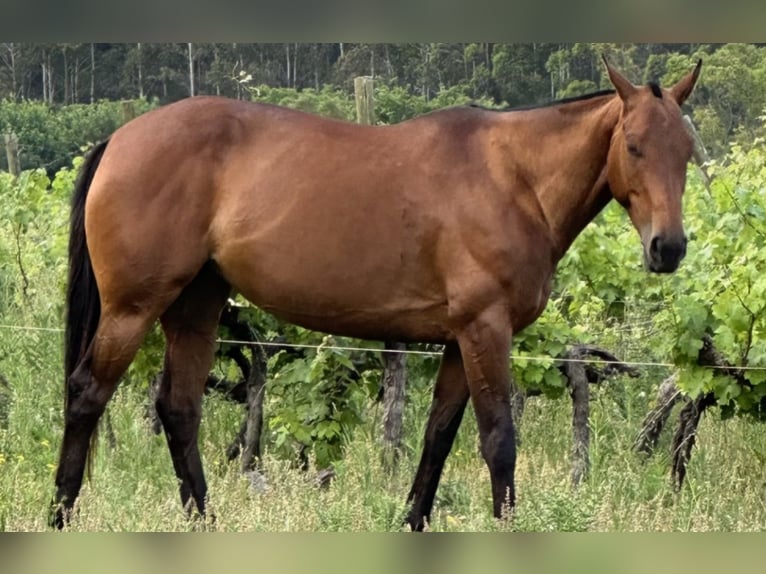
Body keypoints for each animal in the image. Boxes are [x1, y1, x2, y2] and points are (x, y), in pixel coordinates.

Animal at [52, 57, 701, 530]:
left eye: (687, 152)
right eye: (634, 145)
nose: (668, 248)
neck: (513, 178)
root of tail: (119, 139)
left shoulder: (458, 340)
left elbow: (438, 438)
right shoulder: (485, 330)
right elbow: (498, 441)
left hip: (196, 305)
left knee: (179, 408)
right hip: (133, 308)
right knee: (87, 395)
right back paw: (60, 515)